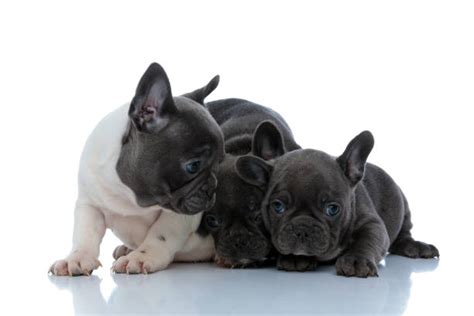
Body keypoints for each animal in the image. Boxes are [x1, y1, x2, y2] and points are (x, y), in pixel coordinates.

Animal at [49, 63, 225, 276]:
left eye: (220, 163)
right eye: (193, 166)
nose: (213, 188)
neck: (131, 196)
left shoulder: (179, 215)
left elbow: (161, 234)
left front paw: (141, 257)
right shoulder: (89, 204)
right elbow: (85, 233)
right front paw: (77, 257)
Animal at [235, 126, 438, 276]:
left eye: (332, 209)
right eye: (278, 206)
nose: (302, 228)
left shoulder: (371, 223)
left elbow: (368, 239)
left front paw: (356, 260)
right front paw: (296, 258)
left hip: (403, 206)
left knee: (404, 234)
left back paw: (416, 246)